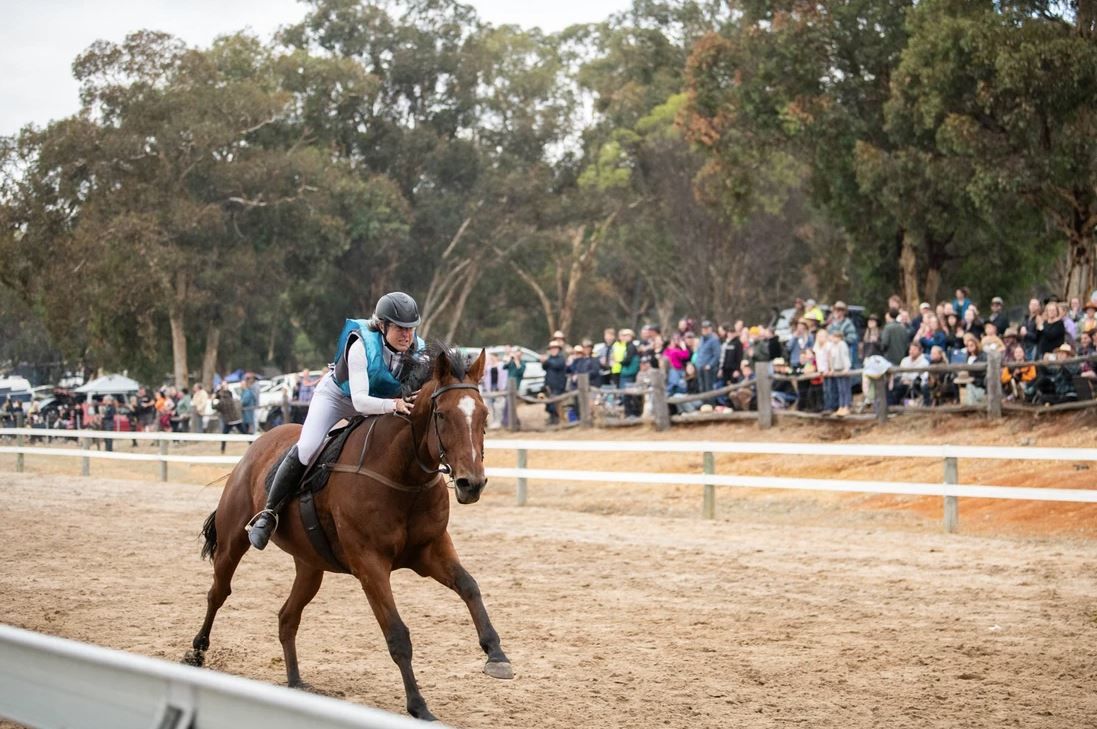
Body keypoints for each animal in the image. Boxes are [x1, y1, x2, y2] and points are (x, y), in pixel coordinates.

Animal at [185, 348, 513, 723]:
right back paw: (197, 651)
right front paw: (418, 706)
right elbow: (397, 634)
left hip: (310, 565)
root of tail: (259, 443)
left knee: (287, 617)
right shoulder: (370, 565)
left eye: (484, 414)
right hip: (233, 541)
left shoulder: (431, 550)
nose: (471, 484)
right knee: (218, 592)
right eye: (442, 415)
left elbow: (470, 586)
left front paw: (497, 655)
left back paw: (295, 682)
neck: (403, 475)